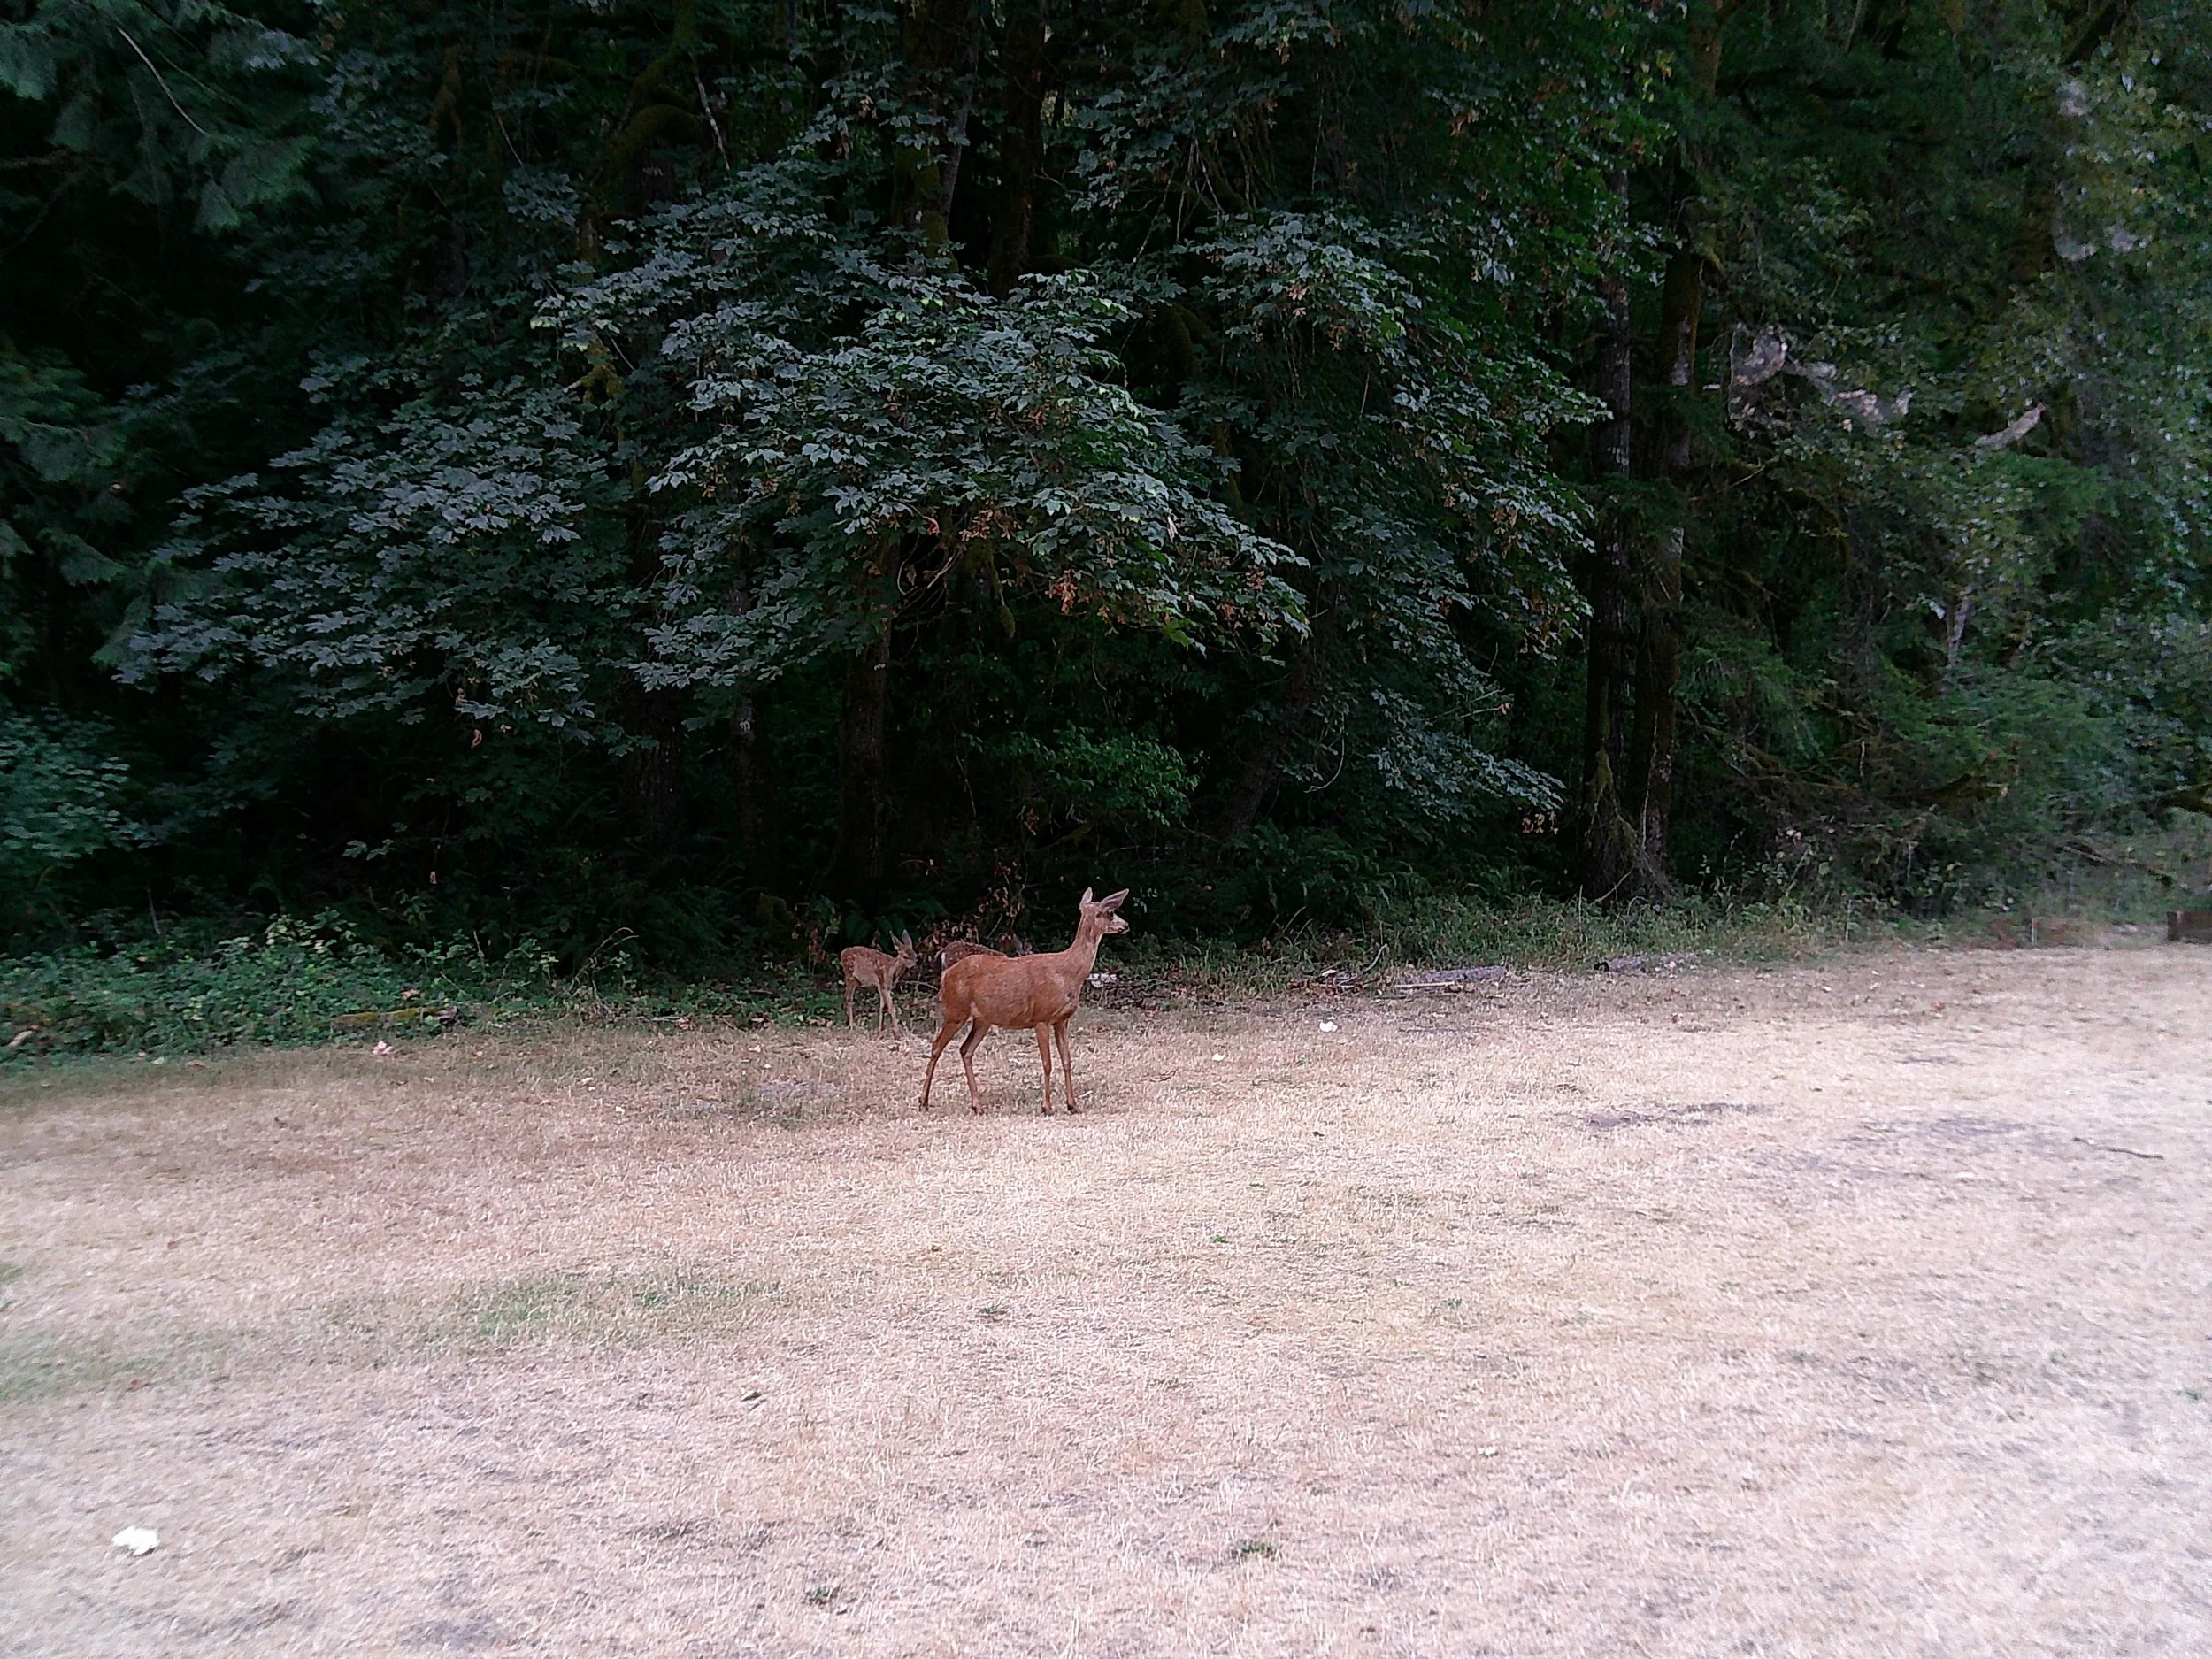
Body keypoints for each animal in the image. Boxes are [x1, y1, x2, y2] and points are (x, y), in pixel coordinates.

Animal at [921, 888, 1129, 1115]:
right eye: (1109, 912)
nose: (1126, 925)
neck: (1068, 973)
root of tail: (946, 975)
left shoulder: (1062, 1020)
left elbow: (1067, 1060)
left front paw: (1073, 1105)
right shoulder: (1041, 1017)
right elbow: (1047, 1063)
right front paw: (1047, 1107)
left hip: (982, 1019)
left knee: (965, 1050)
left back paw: (977, 1105)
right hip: (955, 1010)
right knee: (936, 1046)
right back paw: (923, 1101)